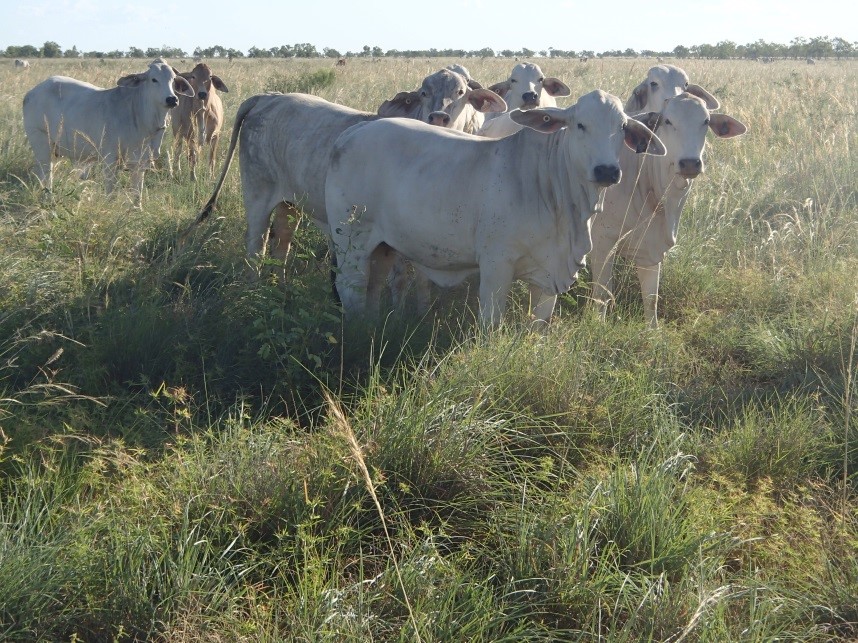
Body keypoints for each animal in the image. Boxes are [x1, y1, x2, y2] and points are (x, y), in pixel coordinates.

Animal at [22, 59, 193, 206]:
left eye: (173, 80)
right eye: (154, 79)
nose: (172, 99)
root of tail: (30, 93)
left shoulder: (140, 162)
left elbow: (137, 193)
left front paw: (137, 210)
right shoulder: (110, 160)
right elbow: (111, 192)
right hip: (41, 142)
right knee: (47, 175)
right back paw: (48, 200)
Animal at [324, 90, 664, 328]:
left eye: (623, 127)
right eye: (580, 125)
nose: (607, 171)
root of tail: (349, 135)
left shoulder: (549, 274)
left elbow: (539, 325)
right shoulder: (495, 264)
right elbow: (491, 324)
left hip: (383, 246)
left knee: (373, 285)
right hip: (351, 241)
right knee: (351, 287)